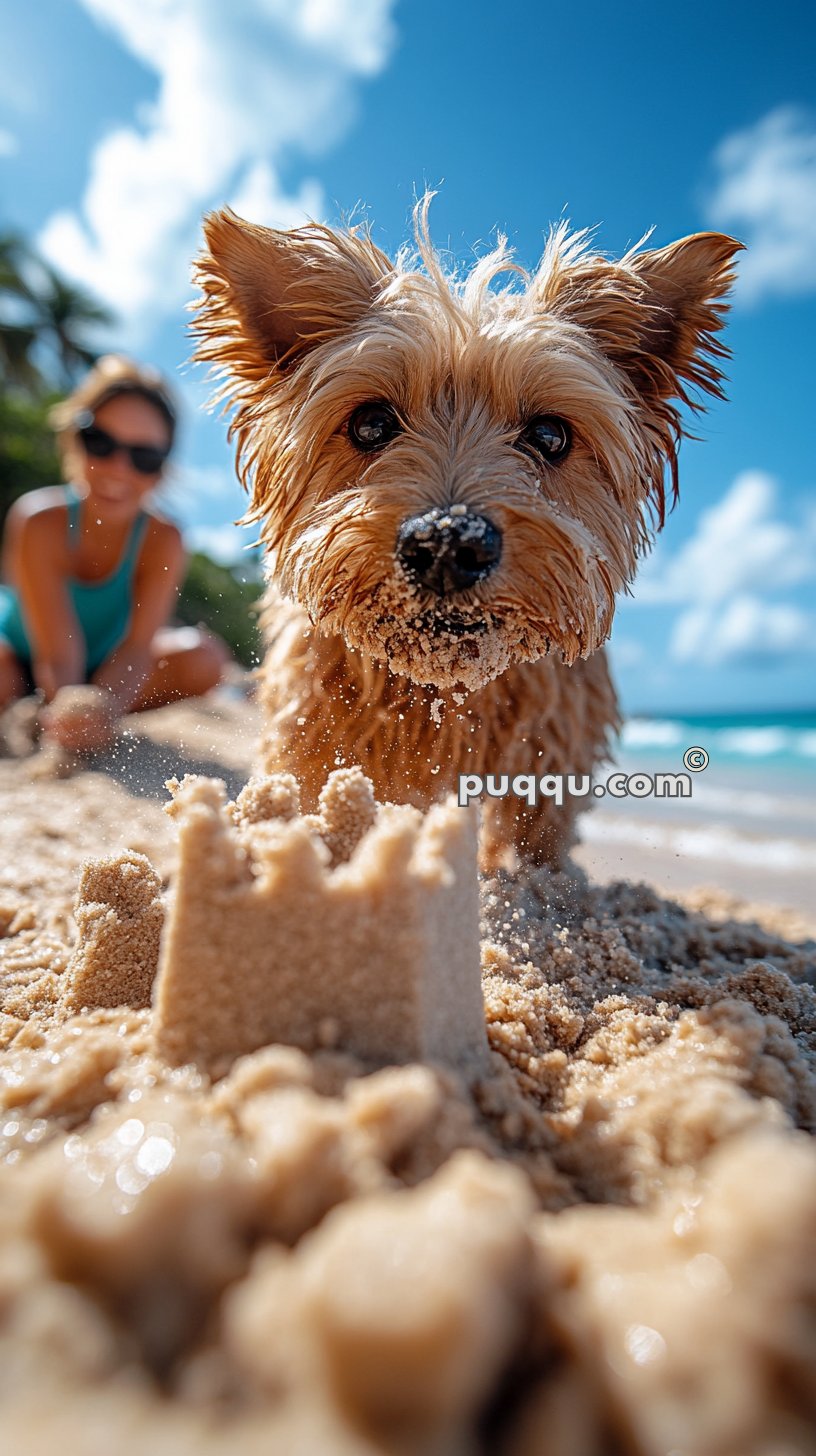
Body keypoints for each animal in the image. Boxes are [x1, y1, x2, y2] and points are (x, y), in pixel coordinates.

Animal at [193, 199, 743, 867]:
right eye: (371, 423)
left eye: (550, 435)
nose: (448, 544)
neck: (444, 690)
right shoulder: (315, 735)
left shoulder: (551, 754)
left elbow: (534, 847)